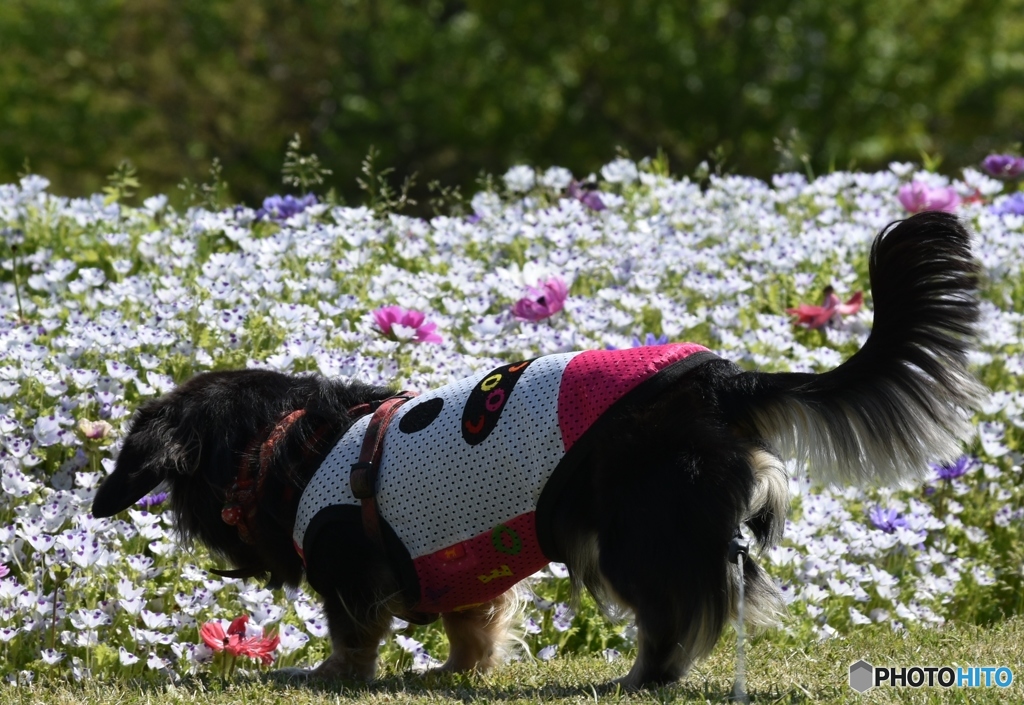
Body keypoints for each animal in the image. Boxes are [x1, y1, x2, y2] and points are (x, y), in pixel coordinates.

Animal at [96, 212, 983, 684]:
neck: (291, 447)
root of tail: (717, 379)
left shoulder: (349, 572)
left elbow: (352, 638)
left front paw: (325, 676)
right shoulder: (458, 570)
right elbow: (473, 628)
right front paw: (459, 672)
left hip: (632, 533)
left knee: (678, 616)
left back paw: (640, 676)